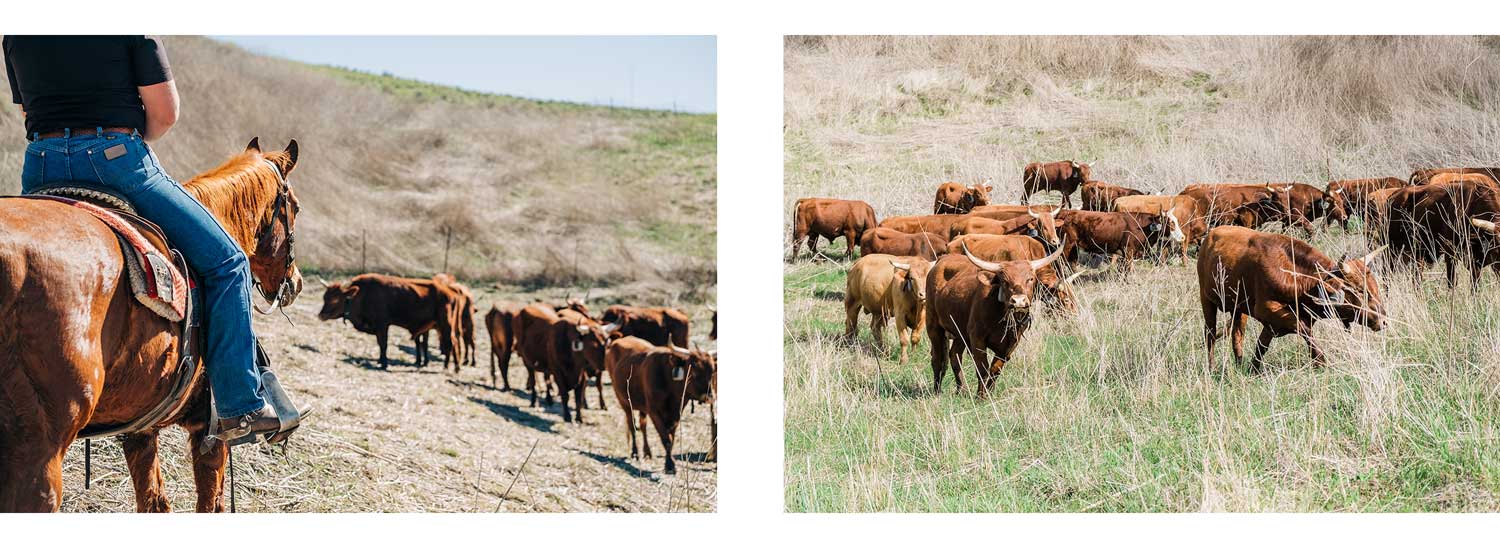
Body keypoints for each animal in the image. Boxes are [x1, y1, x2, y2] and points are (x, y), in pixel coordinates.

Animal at [0, 137, 304, 513]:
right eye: (294, 207)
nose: (296, 283)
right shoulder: (210, 432)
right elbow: (211, 503)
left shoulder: (139, 430)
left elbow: (153, 501)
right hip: (40, 456)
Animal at [324, 273, 465, 370]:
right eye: (325, 297)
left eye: (336, 299)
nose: (321, 315)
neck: (363, 294)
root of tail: (450, 292)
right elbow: (380, 344)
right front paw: (380, 361)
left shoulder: (383, 325)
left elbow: (383, 344)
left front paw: (384, 363)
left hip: (445, 325)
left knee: (452, 342)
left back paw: (450, 367)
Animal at [603, 339, 714, 477]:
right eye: (693, 371)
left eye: (712, 371)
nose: (710, 396)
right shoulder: (654, 412)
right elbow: (666, 439)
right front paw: (670, 466)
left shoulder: (676, 414)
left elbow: (671, 438)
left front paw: (669, 463)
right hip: (624, 401)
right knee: (632, 425)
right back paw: (635, 452)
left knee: (643, 425)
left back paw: (647, 452)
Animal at [924, 243, 1068, 396]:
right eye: (1004, 281)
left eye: (1030, 279)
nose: (1018, 301)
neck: (1002, 320)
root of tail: (942, 259)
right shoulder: (977, 338)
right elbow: (982, 369)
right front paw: (980, 395)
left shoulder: (1010, 344)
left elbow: (995, 369)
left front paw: (989, 393)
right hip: (933, 326)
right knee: (937, 359)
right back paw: (937, 390)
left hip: (960, 331)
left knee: (954, 355)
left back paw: (961, 389)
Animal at [1200, 223, 1386, 373]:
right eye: (1360, 291)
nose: (1383, 321)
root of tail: (1211, 234)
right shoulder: (1267, 310)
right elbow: (1303, 328)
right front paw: (1320, 361)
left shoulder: (1273, 323)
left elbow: (1261, 346)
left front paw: (1253, 369)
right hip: (1206, 301)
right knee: (1210, 335)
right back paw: (1211, 368)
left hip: (1238, 309)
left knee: (1237, 334)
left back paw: (1238, 363)